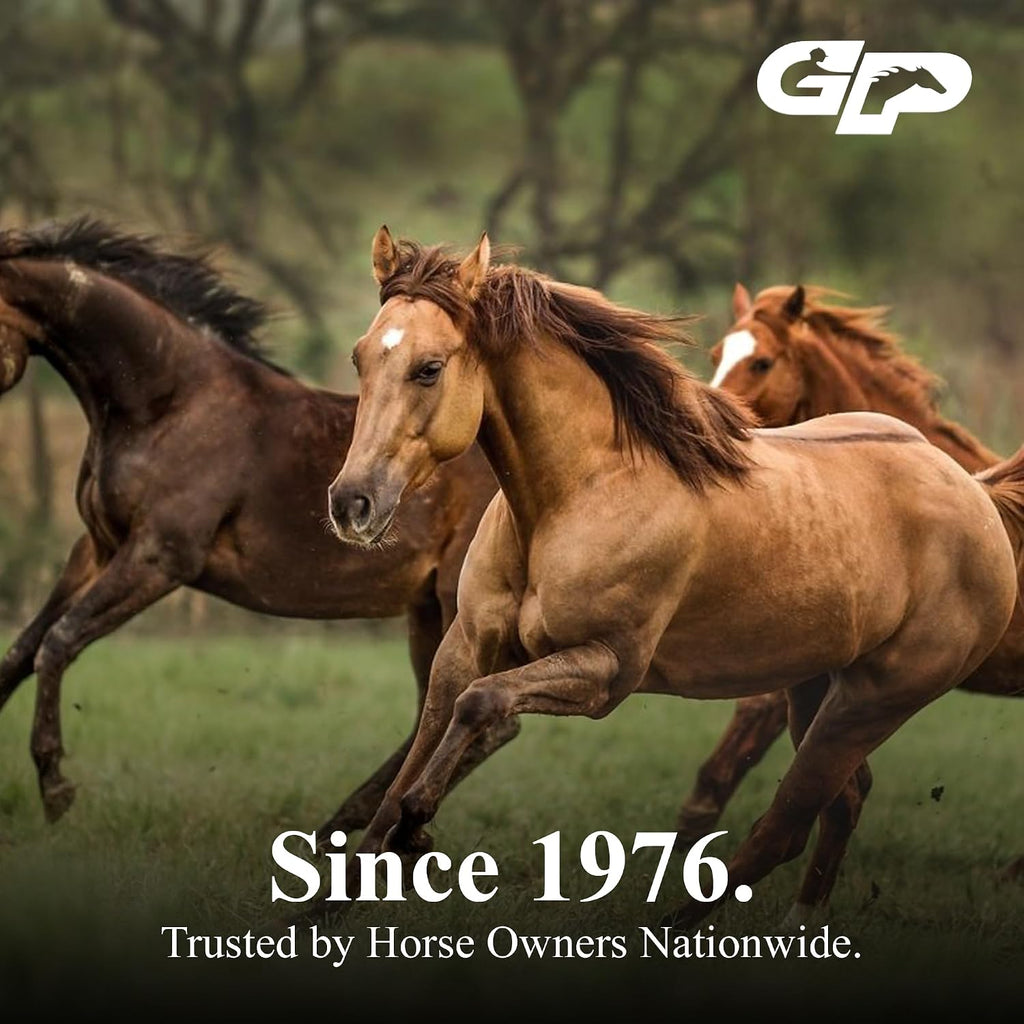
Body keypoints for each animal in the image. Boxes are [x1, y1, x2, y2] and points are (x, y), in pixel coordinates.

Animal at [0, 217, 510, 834]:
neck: (166, 403)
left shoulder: (159, 557)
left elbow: (56, 642)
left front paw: (55, 786)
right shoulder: (96, 548)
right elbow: (21, 650)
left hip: (458, 601)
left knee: (480, 720)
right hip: (427, 609)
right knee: (432, 715)